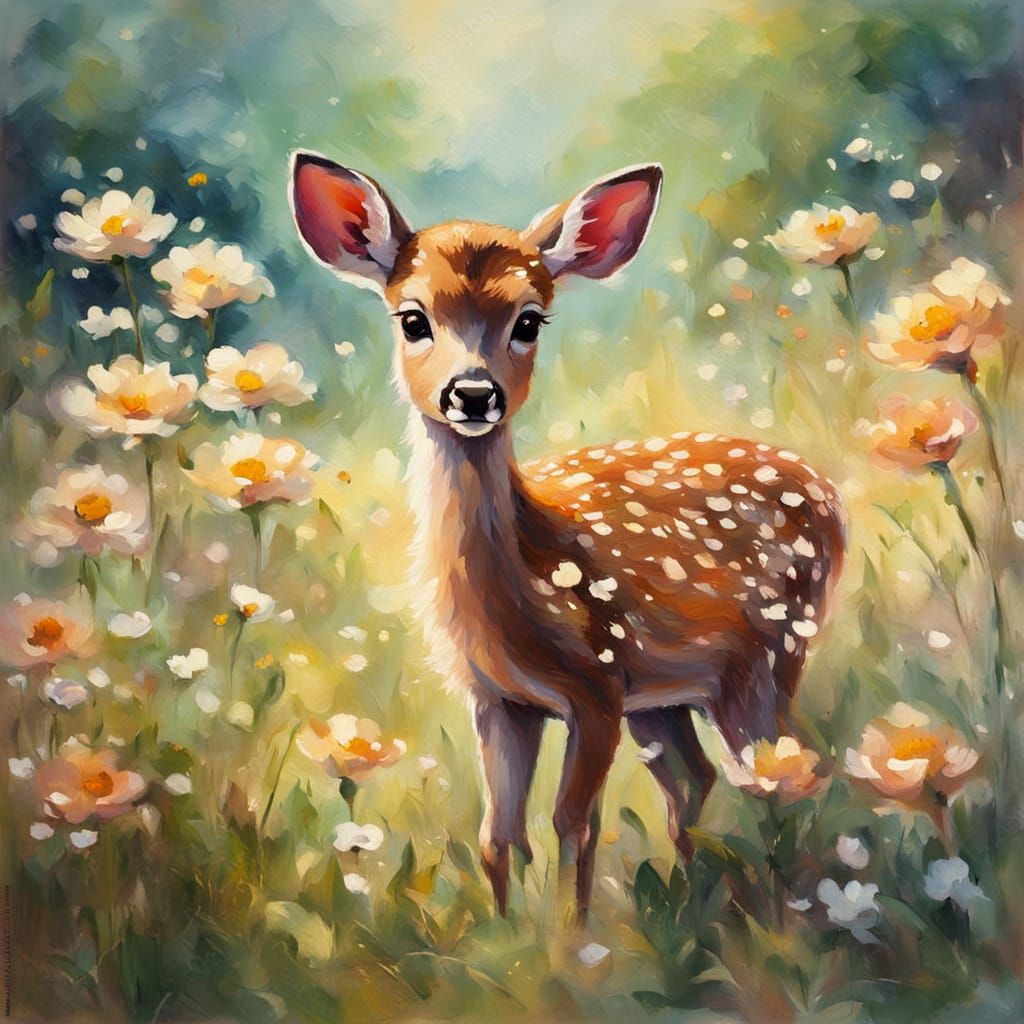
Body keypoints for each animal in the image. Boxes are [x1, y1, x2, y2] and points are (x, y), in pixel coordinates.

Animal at [289, 152, 846, 922]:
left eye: (529, 320)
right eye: (412, 319)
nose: (472, 393)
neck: (519, 588)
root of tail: (828, 493)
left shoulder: (597, 684)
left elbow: (573, 823)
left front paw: (570, 938)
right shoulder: (499, 699)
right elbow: (498, 834)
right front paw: (505, 936)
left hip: (769, 655)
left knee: (777, 774)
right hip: (667, 698)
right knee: (696, 780)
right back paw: (694, 898)